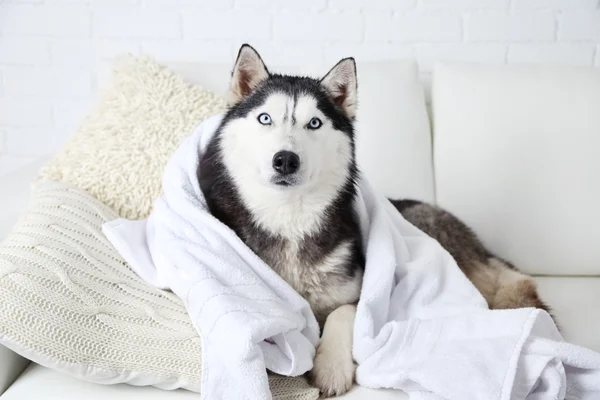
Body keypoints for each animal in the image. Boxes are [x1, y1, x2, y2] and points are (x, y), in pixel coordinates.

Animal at [198, 44, 548, 396]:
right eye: (265, 118)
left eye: (314, 123)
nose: (285, 160)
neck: (290, 219)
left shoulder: (360, 295)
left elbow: (342, 313)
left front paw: (331, 367)